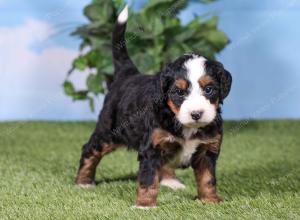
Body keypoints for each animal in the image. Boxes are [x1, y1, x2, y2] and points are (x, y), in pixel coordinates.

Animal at [75, 5, 232, 208]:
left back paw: (171, 182)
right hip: (108, 131)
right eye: (179, 92)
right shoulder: (152, 148)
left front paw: (210, 200)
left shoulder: (207, 149)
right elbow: (148, 179)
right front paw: (145, 205)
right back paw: (83, 182)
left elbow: (207, 178)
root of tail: (128, 74)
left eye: (209, 89)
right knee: (89, 150)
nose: (196, 114)